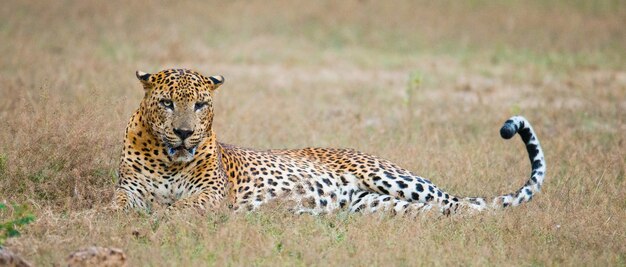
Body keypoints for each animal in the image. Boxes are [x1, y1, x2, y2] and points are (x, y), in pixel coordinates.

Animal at [114, 68, 544, 217]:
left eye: (200, 105)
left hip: (393, 178)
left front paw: (166, 216)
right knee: (441, 210)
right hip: (376, 206)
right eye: (167, 103)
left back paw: (484, 216)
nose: (185, 133)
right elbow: (118, 203)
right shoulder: (129, 187)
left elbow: (185, 205)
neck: (169, 158)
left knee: (466, 204)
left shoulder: (213, 194)